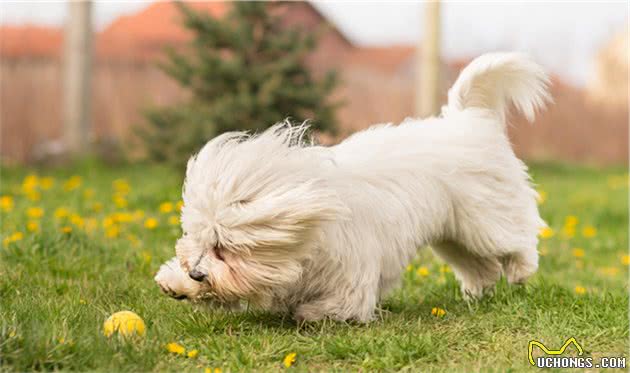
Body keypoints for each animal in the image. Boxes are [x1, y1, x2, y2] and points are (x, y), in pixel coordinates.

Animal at [156, 53, 552, 322]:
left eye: (225, 246)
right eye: (196, 236)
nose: (196, 271)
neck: (312, 220)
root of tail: (467, 119)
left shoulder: (350, 274)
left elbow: (340, 303)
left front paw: (309, 312)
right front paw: (177, 282)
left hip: (485, 218)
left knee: (516, 240)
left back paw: (520, 270)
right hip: (452, 233)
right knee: (479, 266)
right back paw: (476, 292)